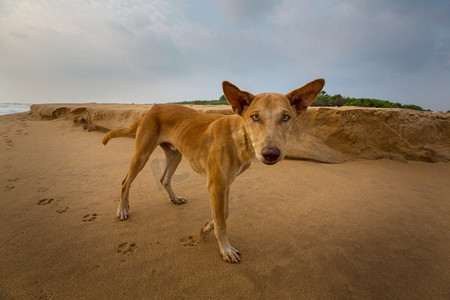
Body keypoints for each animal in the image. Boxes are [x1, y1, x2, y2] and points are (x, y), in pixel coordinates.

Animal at [103, 79, 326, 262]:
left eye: (286, 117)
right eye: (255, 117)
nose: (271, 153)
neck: (239, 137)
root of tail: (150, 110)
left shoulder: (225, 184)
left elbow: (224, 214)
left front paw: (206, 229)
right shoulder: (216, 185)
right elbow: (222, 221)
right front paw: (225, 249)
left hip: (175, 155)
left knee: (164, 178)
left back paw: (174, 198)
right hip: (142, 154)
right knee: (125, 182)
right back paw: (123, 209)